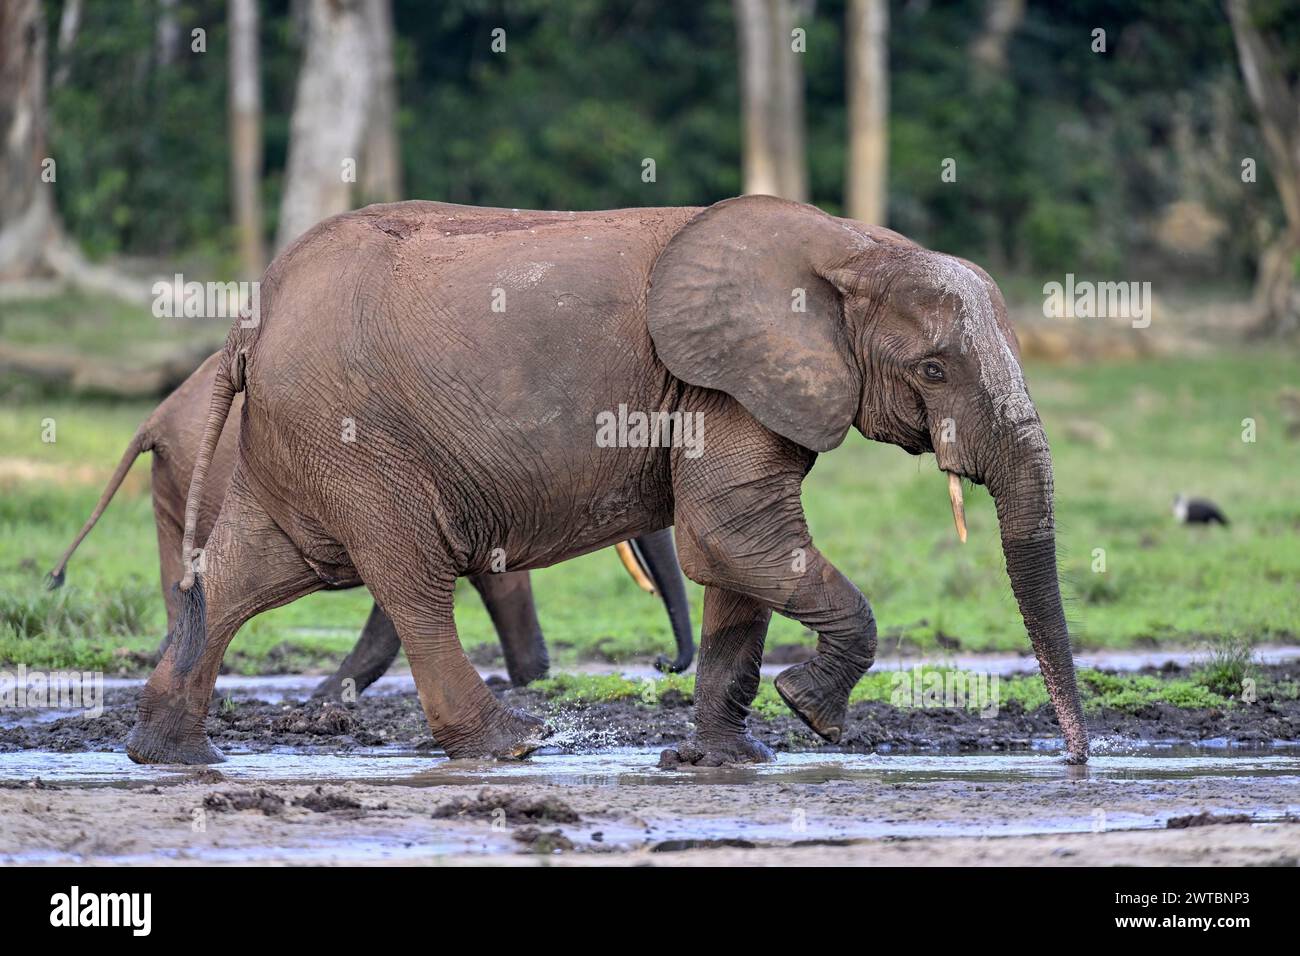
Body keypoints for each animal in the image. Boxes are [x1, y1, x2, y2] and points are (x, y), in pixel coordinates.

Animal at [129, 197, 1086, 764]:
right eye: (932, 370)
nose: (1077, 758)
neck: (852, 247)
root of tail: (251, 318)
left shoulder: (740, 384)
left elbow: (736, 558)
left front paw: (726, 760)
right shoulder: (718, 381)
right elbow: (732, 536)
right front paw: (811, 712)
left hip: (303, 435)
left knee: (246, 572)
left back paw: (167, 753)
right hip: (353, 437)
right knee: (409, 577)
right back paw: (512, 744)